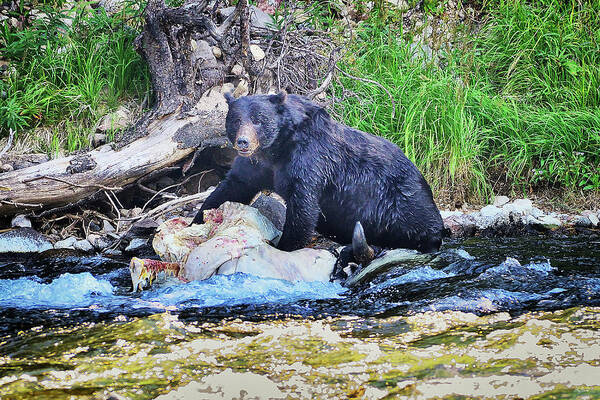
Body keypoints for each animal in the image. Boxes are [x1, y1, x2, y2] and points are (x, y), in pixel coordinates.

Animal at [195, 92, 442, 252]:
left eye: (258, 120)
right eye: (236, 120)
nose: (243, 142)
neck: (277, 149)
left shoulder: (310, 160)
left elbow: (303, 207)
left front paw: (285, 245)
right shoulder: (256, 167)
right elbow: (231, 188)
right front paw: (200, 219)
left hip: (399, 199)